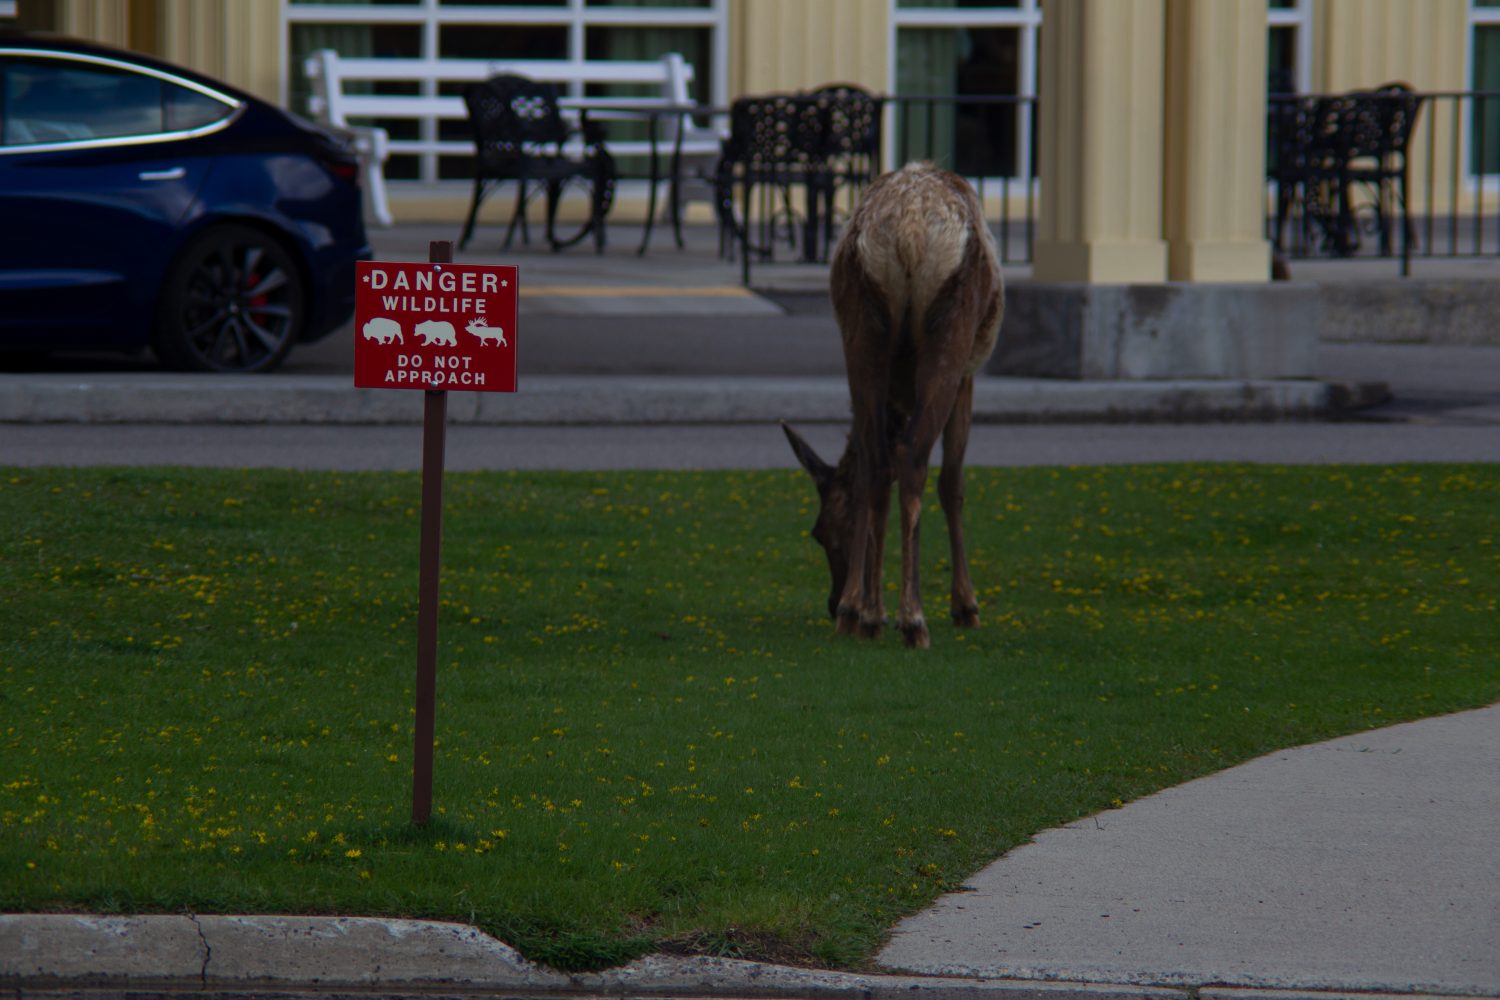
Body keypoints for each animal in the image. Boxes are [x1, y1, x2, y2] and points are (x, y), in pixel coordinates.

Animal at [780, 164, 1002, 650]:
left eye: (819, 531)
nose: (830, 602)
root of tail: (909, 233)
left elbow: (871, 471)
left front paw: (864, 607)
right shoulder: (968, 376)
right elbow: (953, 483)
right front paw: (966, 605)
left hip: (861, 330)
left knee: (877, 463)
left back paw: (862, 614)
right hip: (951, 331)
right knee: (914, 461)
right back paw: (913, 619)